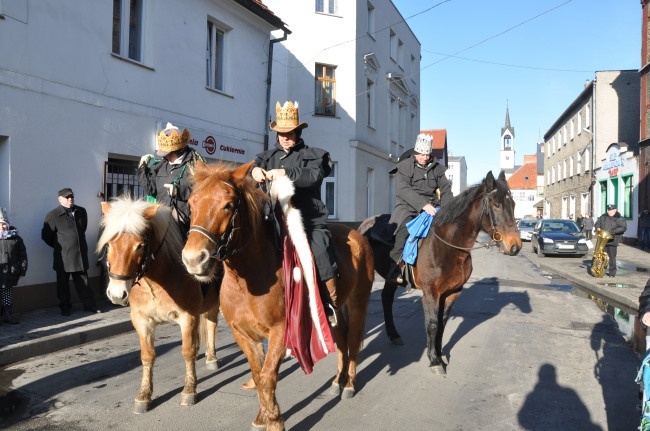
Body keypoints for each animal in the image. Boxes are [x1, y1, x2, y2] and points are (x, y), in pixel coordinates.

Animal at [97, 198, 220, 416]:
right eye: (110, 243)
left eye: (139, 245)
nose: (117, 294)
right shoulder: (142, 321)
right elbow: (147, 356)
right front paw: (144, 395)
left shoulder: (187, 317)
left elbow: (187, 351)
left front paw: (189, 390)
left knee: (211, 326)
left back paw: (211, 358)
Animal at [180, 162, 372, 431]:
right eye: (191, 203)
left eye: (228, 205)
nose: (193, 260)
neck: (248, 279)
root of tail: (356, 234)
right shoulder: (243, 333)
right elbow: (257, 374)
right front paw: (263, 417)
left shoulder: (281, 331)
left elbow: (268, 376)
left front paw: (274, 420)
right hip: (331, 314)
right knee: (342, 342)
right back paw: (337, 382)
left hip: (358, 303)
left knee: (353, 342)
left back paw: (350, 384)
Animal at [356, 170, 520, 374]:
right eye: (496, 205)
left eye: (513, 205)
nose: (515, 246)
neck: (448, 245)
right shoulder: (431, 293)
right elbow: (432, 323)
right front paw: (434, 360)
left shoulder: (452, 292)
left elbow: (442, 322)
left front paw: (440, 352)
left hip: (391, 278)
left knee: (386, 298)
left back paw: (394, 335)